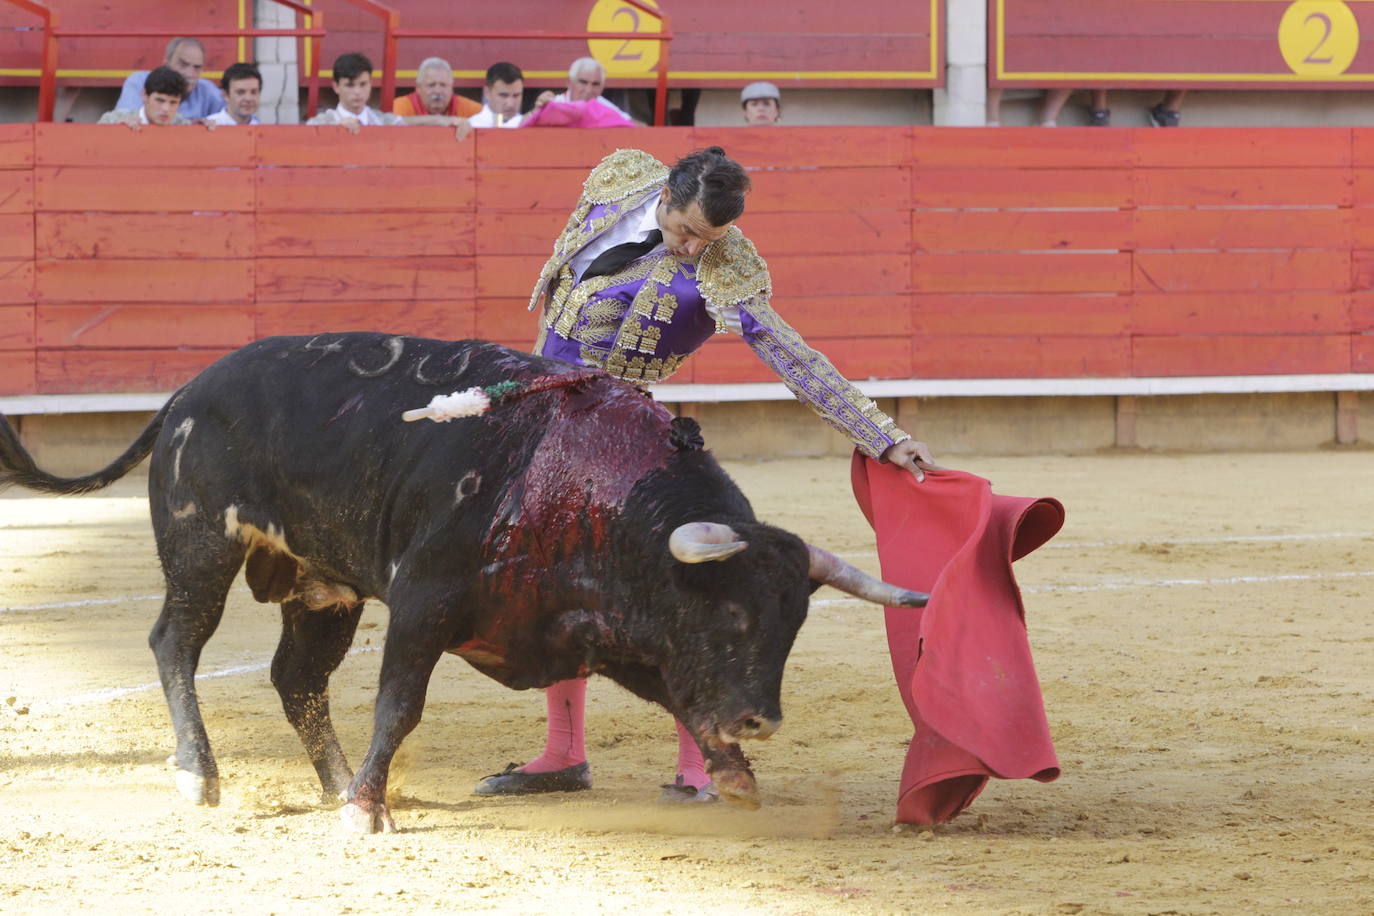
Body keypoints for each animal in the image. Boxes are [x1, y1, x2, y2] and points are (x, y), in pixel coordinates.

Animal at [0, 333, 928, 834]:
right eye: (731, 615)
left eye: (793, 625)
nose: (761, 718)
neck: (582, 491)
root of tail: (188, 389)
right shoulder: (423, 603)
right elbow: (400, 704)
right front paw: (367, 815)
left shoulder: (611, 632)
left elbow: (676, 698)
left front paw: (734, 776)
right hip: (203, 546)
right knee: (176, 643)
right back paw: (203, 775)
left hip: (322, 586)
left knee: (296, 677)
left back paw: (336, 781)